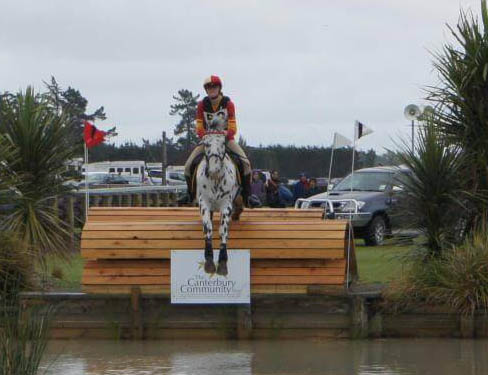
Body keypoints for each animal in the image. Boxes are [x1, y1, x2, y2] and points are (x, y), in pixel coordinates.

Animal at [195, 119, 243, 276]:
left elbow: (223, 230)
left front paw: (222, 263)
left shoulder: (226, 204)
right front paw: (209, 261)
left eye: (223, 143)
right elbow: (208, 227)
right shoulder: (204, 203)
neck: (215, 179)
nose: (213, 169)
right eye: (206, 143)